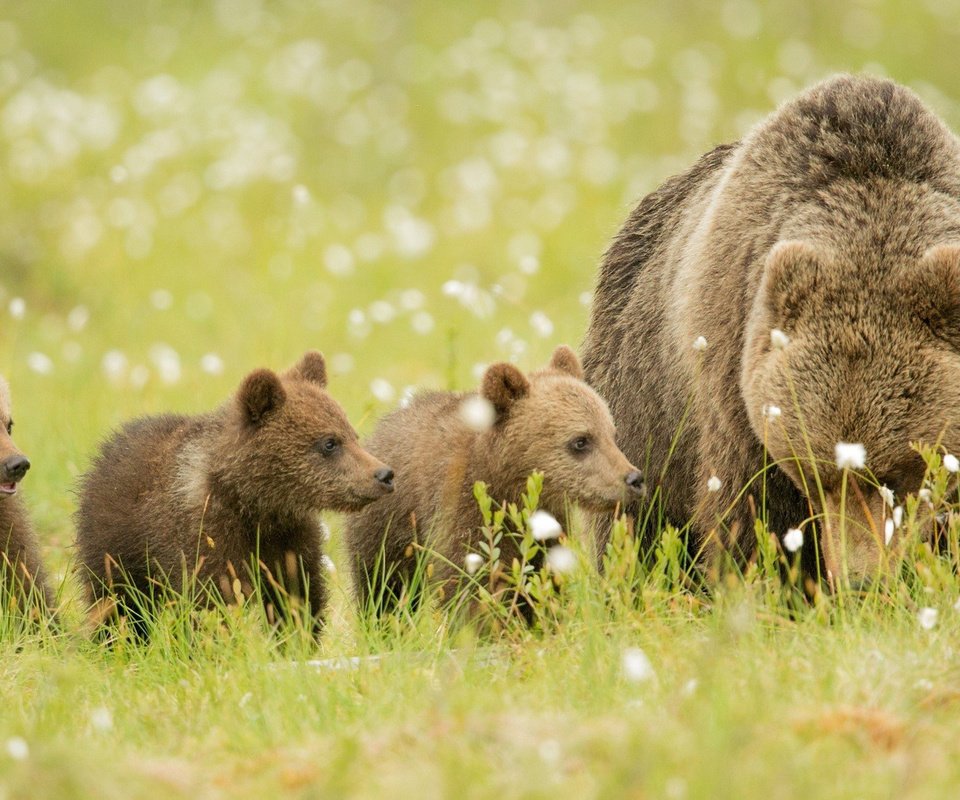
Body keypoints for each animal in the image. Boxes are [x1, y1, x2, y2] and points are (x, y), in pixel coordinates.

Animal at [580, 75, 960, 584]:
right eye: (814, 473)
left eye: (897, 474)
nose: (860, 579)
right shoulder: (734, 376)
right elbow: (750, 511)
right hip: (643, 394)